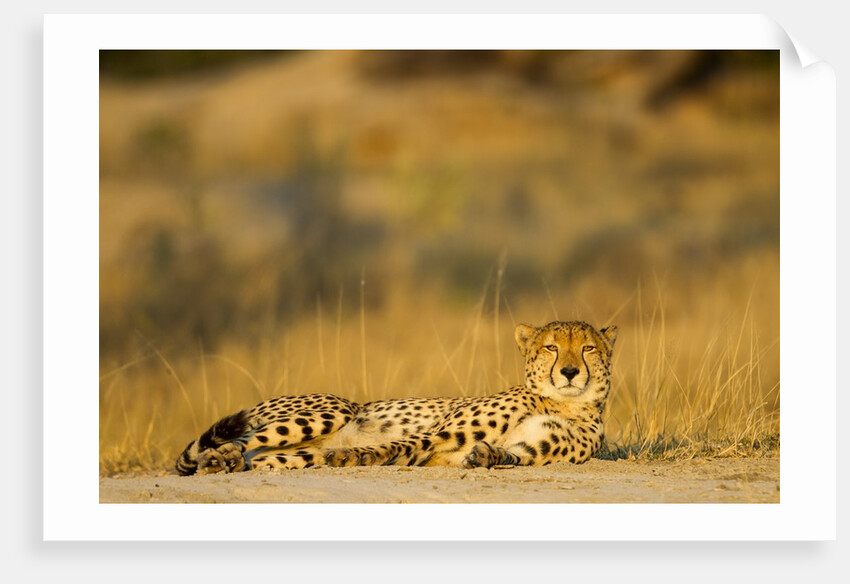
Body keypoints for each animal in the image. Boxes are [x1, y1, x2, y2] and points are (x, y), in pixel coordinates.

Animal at [175, 320, 617, 475]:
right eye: (551, 347)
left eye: (588, 348)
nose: (570, 372)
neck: (563, 401)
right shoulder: (441, 434)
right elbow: (396, 445)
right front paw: (354, 456)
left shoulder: (534, 449)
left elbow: (508, 454)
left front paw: (486, 456)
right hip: (332, 410)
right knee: (237, 441)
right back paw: (217, 458)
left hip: (293, 451)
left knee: (260, 456)